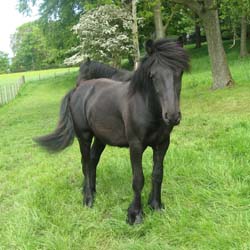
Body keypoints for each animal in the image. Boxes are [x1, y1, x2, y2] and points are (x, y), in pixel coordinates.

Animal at [34, 38, 188, 225]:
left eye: (180, 72)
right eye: (152, 75)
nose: (172, 116)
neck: (146, 106)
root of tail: (77, 90)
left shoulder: (163, 143)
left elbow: (157, 174)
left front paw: (156, 205)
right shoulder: (136, 146)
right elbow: (138, 179)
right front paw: (135, 215)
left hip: (100, 138)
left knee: (92, 161)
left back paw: (92, 191)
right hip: (84, 137)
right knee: (86, 163)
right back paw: (88, 199)